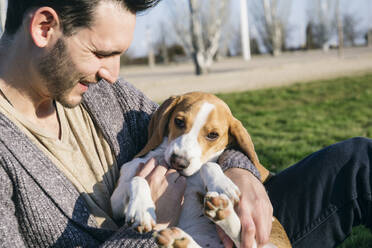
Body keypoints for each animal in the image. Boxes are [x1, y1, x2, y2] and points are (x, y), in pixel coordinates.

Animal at [110, 92, 290, 247]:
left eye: (213, 135)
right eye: (179, 121)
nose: (178, 162)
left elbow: (207, 165)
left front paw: (222, 184)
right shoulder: (116, 203)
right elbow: (137, 178)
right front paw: (141, 209)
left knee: (247, 242)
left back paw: (220, 214)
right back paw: (180, 239)